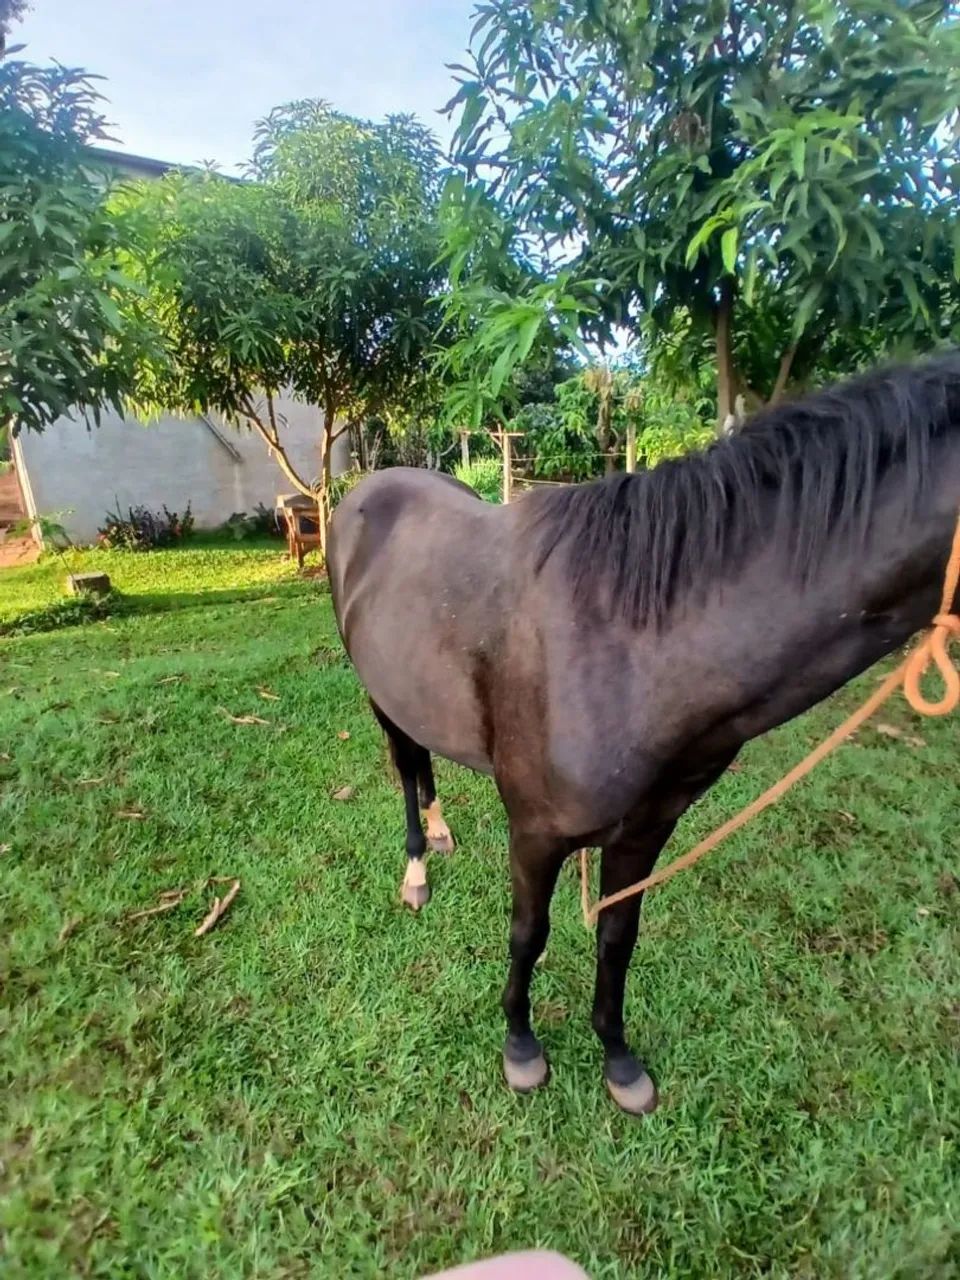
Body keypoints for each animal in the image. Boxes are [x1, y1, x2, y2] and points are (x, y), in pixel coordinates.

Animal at [327, 352, 960, 1115]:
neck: (625, 642)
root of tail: (367, 488)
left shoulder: (647, 829)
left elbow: (617, 938)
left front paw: (618, 1057)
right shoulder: (534, 831)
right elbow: (528, 934)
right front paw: (521, 1045)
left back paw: (442, 831)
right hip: (379, 692)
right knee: (406, 763)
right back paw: (418, 865)